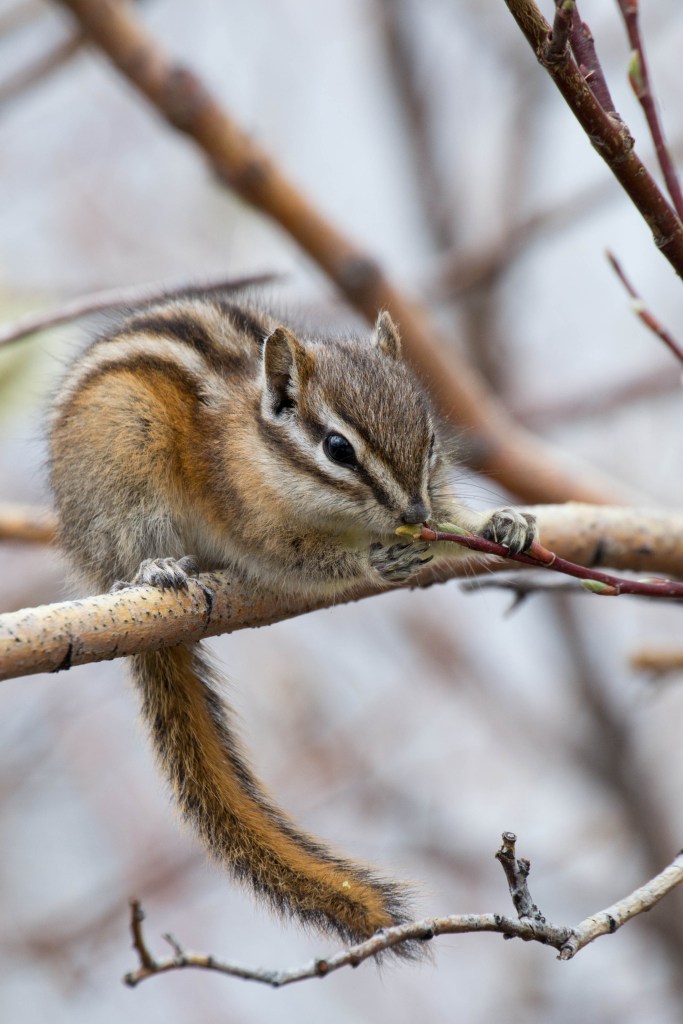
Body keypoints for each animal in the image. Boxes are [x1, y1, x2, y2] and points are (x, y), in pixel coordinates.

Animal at [48, 290, 536, 949]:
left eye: (431, 437)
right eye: (337, 449)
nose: (414, 513)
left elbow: (456, 523)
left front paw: (501, 523)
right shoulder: (249, 516)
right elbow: (295, 556)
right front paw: (372, 559)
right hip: (122, 457)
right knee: (123, 559)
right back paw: (155, 569)